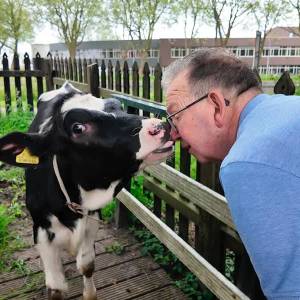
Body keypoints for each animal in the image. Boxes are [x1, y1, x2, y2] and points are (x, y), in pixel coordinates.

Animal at [0, 82, 173, 300]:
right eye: (78, 127)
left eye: (118, 106)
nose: (160, 126)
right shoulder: (41, 231)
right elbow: (55, 287)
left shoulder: (92, 220)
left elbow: (87, 265)